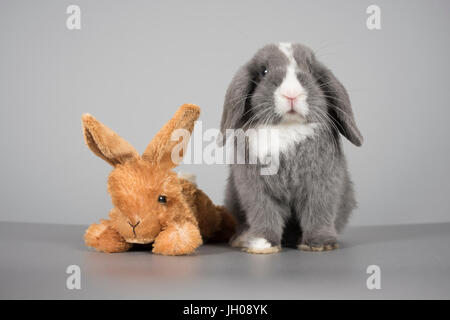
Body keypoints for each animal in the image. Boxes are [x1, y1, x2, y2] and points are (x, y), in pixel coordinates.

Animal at [220, 42, 364, 254]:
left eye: (310, 70)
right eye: (264, 71)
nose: (291, 94)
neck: (287, 127)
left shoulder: (322, 185)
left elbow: (319, 212)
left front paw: (321, 243)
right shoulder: (256, 190)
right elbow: (264, 214)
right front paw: (262, 243)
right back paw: (242, 238)